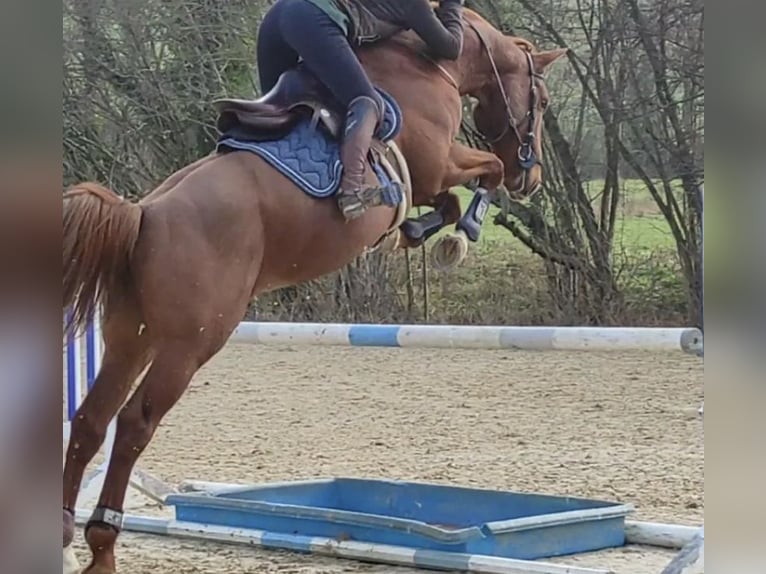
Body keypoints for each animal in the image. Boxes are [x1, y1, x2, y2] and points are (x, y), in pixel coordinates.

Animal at [63, 6, 568, 572]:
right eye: (543, 102)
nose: (534, 179)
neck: (431, 64)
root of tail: (144, 213)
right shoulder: (438, 162)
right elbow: (486, 172)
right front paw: (461, 235)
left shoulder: (430, 177)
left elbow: (449, 200)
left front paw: (418, 232)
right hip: (189, 344)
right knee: (133, 425)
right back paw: (102, 547)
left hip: (131, 336)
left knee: (91, 420)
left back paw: (65, 536)